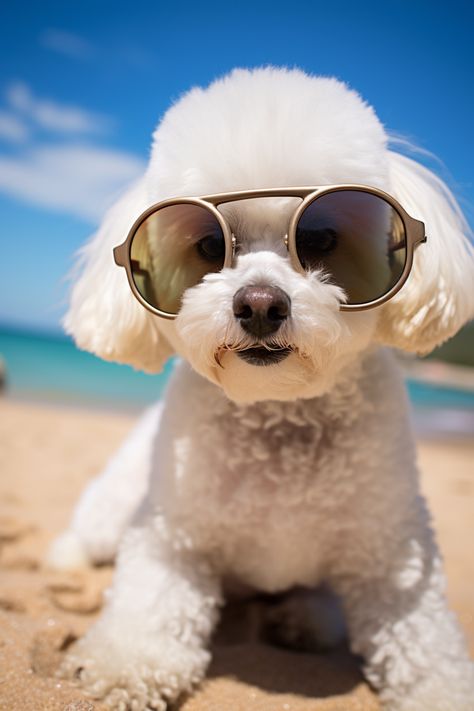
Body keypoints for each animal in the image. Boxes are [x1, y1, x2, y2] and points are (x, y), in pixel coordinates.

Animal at [48, 68, 474, 711]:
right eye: (208, 246)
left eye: (319, 238)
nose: (259, 305)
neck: (280, 415)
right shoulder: (172, 533)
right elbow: (150, 602)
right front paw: (127, 661)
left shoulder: (392, 553)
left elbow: (426, 645)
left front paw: (444, 688)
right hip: (116, 502)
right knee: (92, 533)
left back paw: (306, 617)